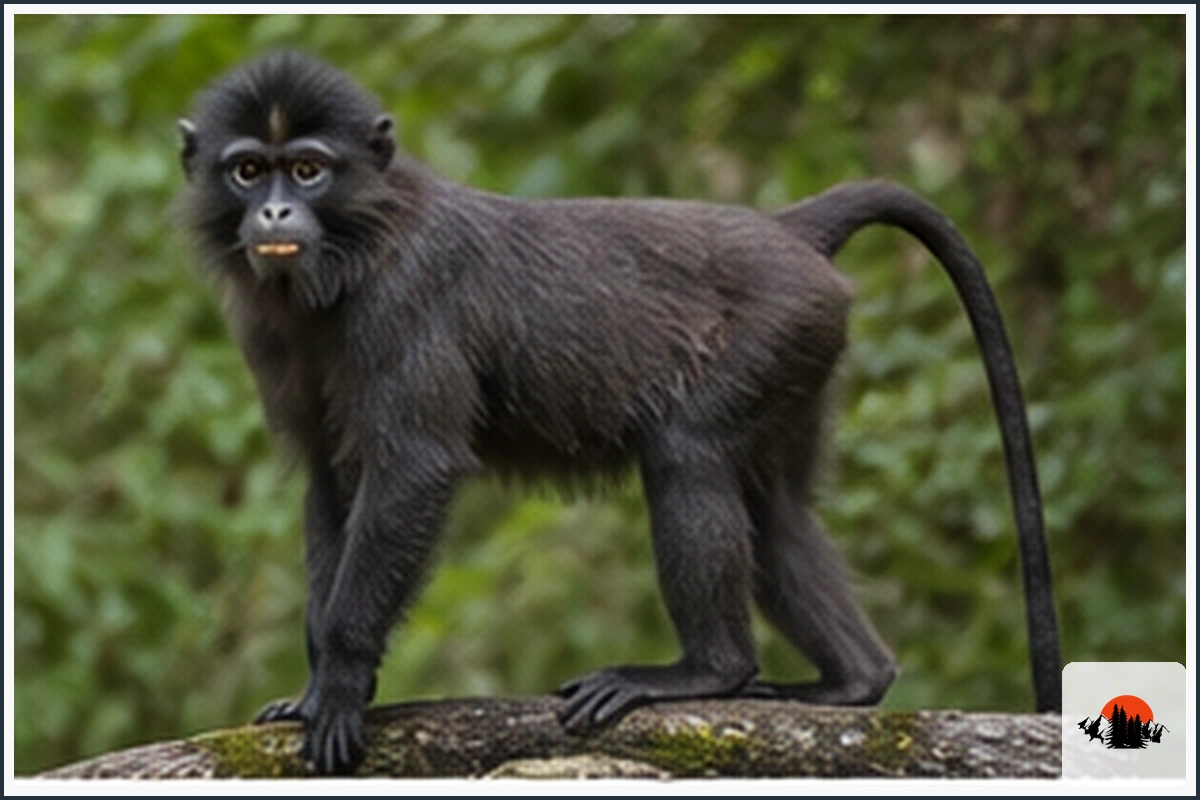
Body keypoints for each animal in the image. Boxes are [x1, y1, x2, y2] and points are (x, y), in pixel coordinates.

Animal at [177, 53, 1060, 775]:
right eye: (250, 170)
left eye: (309, 170)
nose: (275, 215)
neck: (358, 243)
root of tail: (787, 230)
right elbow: (333, 482)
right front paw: (316, 688)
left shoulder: (405, 298)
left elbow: (411, 470)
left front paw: (341, 680)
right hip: (805, 349)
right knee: (773, 506)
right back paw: (852, 682)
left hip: (777, 325)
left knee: (687, 452)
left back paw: (707, 672)